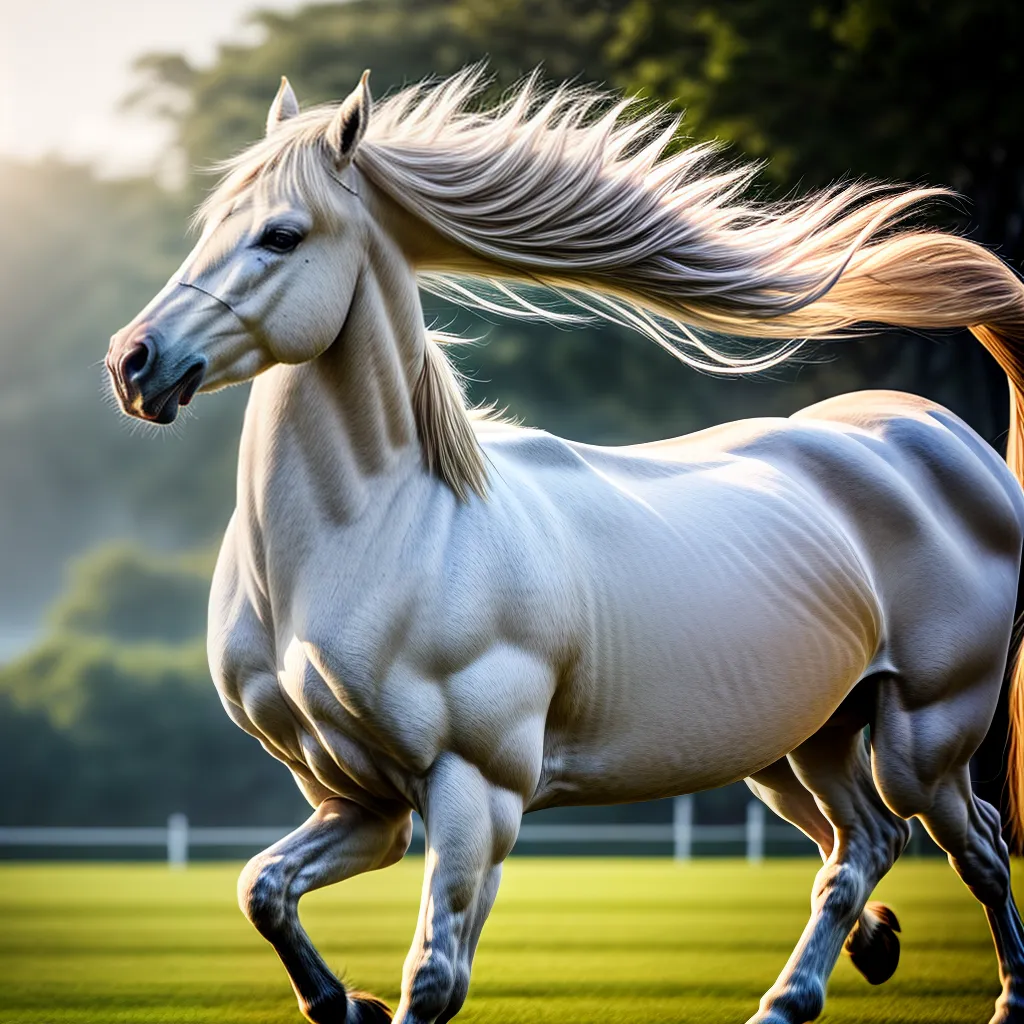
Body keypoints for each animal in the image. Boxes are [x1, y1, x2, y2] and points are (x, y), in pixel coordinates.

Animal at [106, 67, 1024, 1024]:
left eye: (281, 235)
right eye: (210, 225)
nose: (135, 362)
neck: (379, 535)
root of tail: (943, 437)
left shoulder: (477, 789)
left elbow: (433, 977)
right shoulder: (355, 803)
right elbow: (263, 889)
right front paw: (345, 1001)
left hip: (926, 738)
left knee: (974, 845)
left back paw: (1002, 997)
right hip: (802, 745)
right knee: (863, 845)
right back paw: (812, 984)